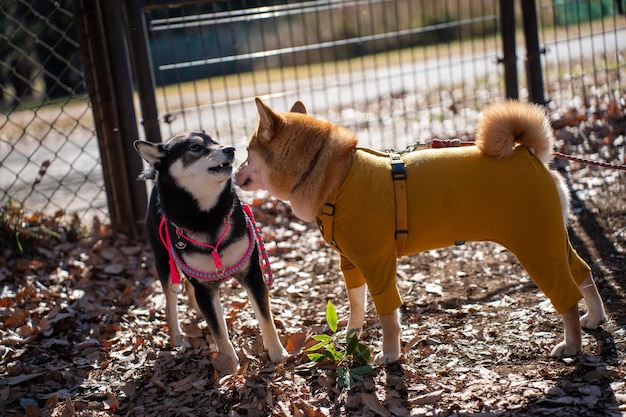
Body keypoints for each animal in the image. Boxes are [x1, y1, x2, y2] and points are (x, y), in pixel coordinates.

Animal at [235, 99, 604, 362]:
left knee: (566, 296)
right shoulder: (351, 264)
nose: (233, 168)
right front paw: (352, 336)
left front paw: (390, 354)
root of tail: (529, 154)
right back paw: (595, 318)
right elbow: (357, 305)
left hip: (535, 246)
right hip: (551, 240)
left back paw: (572, 344)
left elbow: (387, 315)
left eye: (247, 153)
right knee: (583, 272)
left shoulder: (378, 265)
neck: (336, 178)